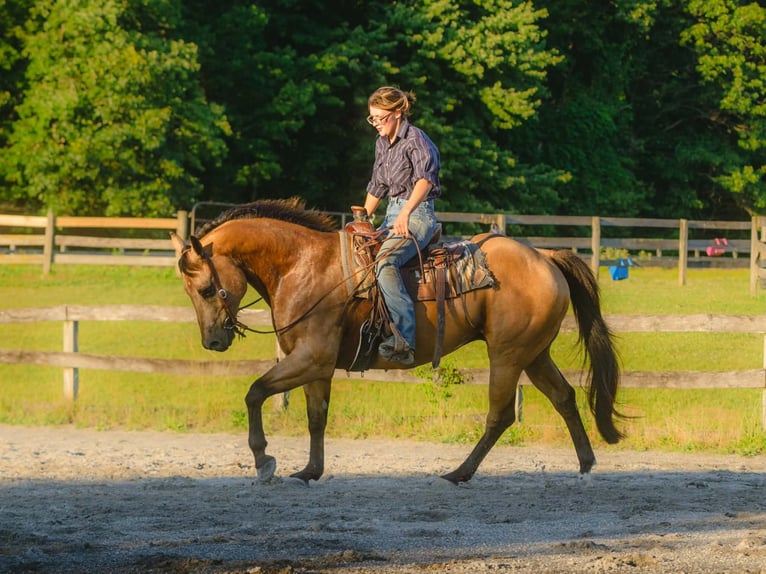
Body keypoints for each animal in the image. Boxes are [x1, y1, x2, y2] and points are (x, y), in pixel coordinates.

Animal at [171, 198, 622, 485]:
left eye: (207, 289)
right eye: (189, 290)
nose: (213, 342)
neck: (302, 266)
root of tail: (545, 257)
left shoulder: (311, 358)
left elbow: (255, 392)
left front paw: (264, 460)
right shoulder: (316, 365)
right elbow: (316, 417)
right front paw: (310, 471)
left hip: (508, 355)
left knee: (501, 416)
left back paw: (459, 473)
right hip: (534, 353)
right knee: (564, 397)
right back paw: (586, 464)